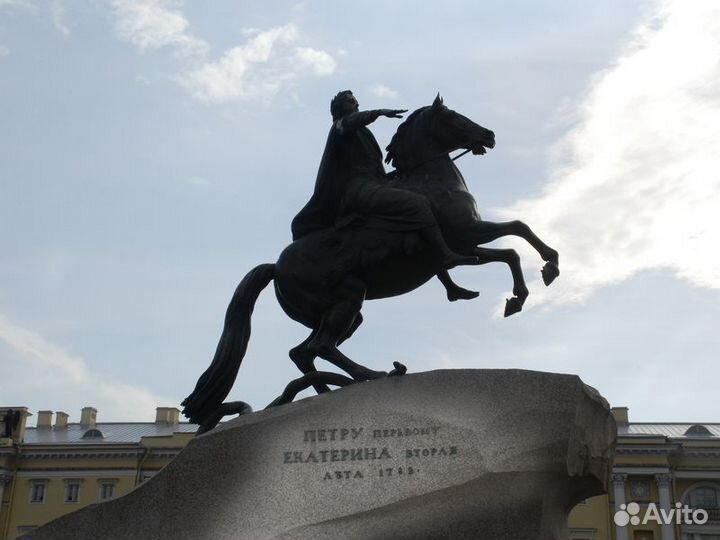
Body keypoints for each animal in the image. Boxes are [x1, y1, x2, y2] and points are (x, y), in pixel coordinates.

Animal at [183, 95, 560, 428]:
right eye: (453, 116)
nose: (488, 135)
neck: (431, 181)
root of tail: (276, 268)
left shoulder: (472, 244)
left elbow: (516, 236)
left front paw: (537, 276)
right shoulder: (467, 241)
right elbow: (514, 240)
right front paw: (535, 281)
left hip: (341, 313)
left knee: (303, 352)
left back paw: (327, 389)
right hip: (347, 299)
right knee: (320, 346)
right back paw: (371, 374)